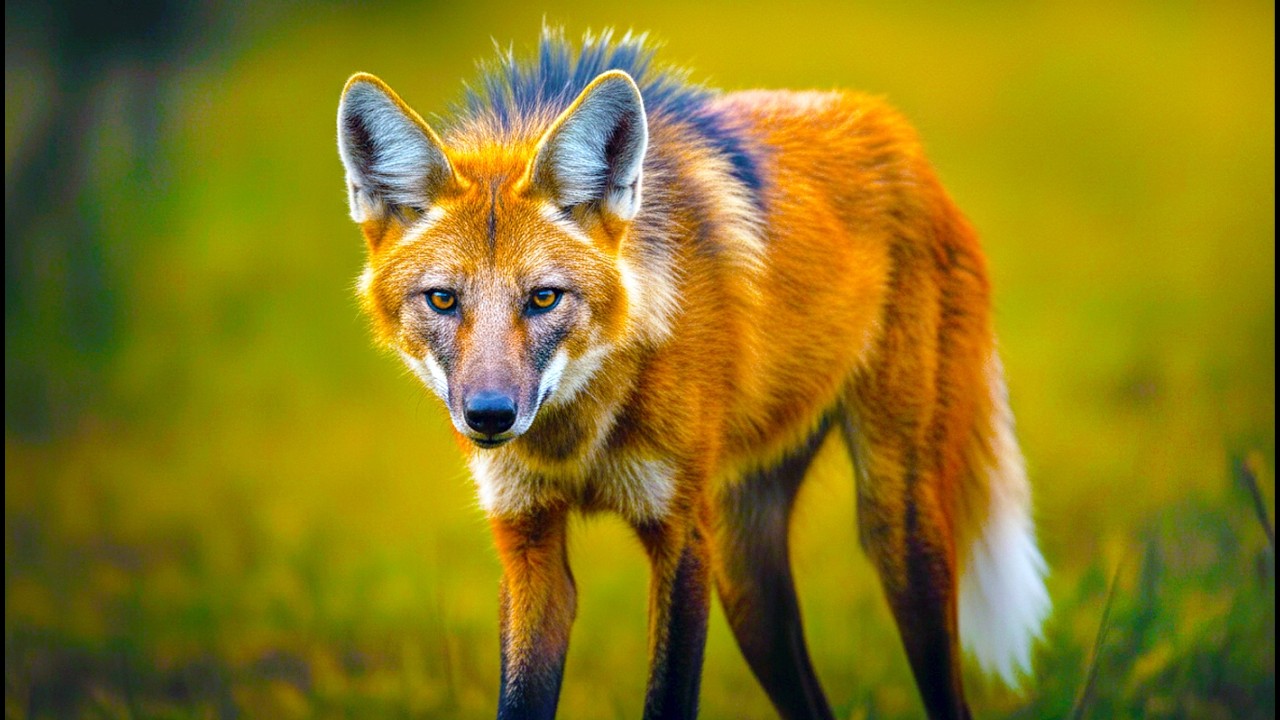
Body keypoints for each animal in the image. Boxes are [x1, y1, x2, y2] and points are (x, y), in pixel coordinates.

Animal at [336, 27, 1049, 720]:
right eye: (442, 300)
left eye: (543, 298)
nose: (488, 416)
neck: (580, 440)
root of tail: (892, 126)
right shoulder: (529, 546)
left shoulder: (680, 537)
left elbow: (669, 697)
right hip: (748, 574)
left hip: (895, 530)